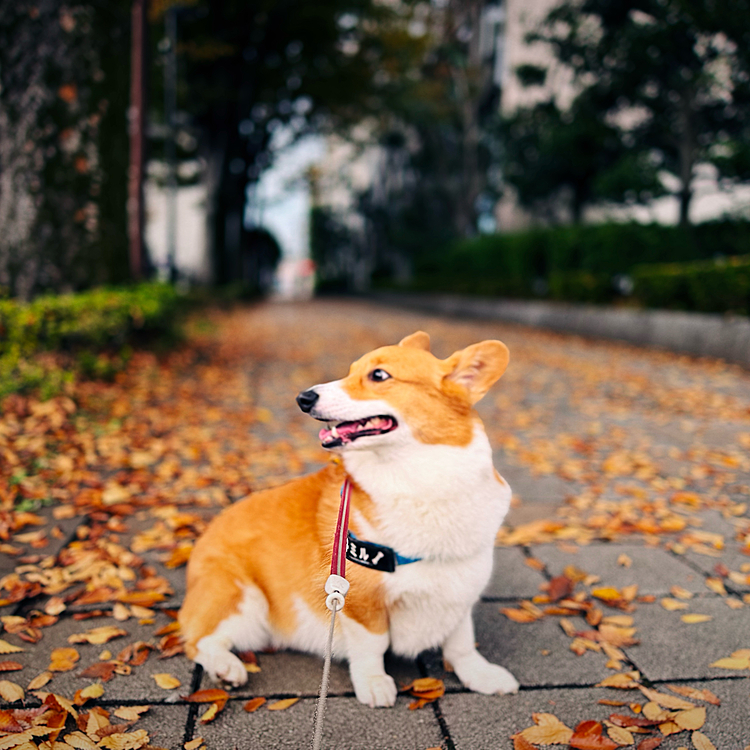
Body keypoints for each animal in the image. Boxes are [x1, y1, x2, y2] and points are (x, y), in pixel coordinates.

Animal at [179, 332, 520, 708]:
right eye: (351, 370)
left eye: (379, 375)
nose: (303, 398)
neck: (420, 479)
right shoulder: (358, 599)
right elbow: (373, 644)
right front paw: (373, 682)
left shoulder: (461, 589)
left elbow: (461, 642)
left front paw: (481, 675)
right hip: (243, 599)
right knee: (198, 639)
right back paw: (226, 668)